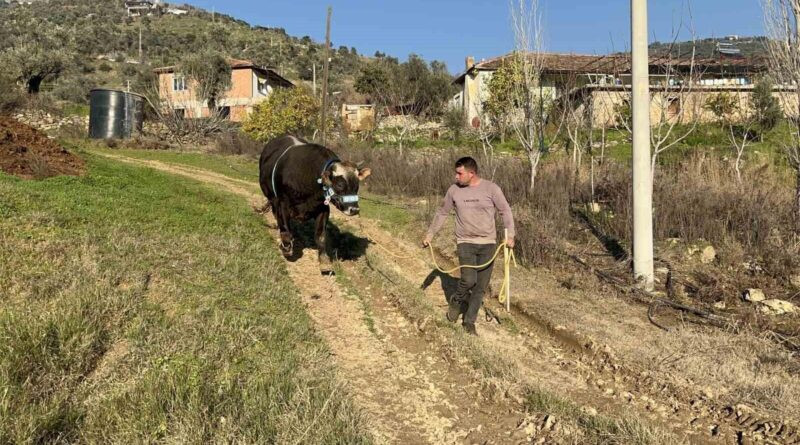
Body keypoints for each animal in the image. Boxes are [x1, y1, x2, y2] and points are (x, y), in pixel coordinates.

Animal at [258, 134, 370, 272]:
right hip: (271, 196)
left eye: (357, 185)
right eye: (339, 184)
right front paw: (286, 248)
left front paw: (324, 261)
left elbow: (321, 236)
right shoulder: (282, 203)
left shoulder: (323, 209)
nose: (354, 210)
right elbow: (285, 229)